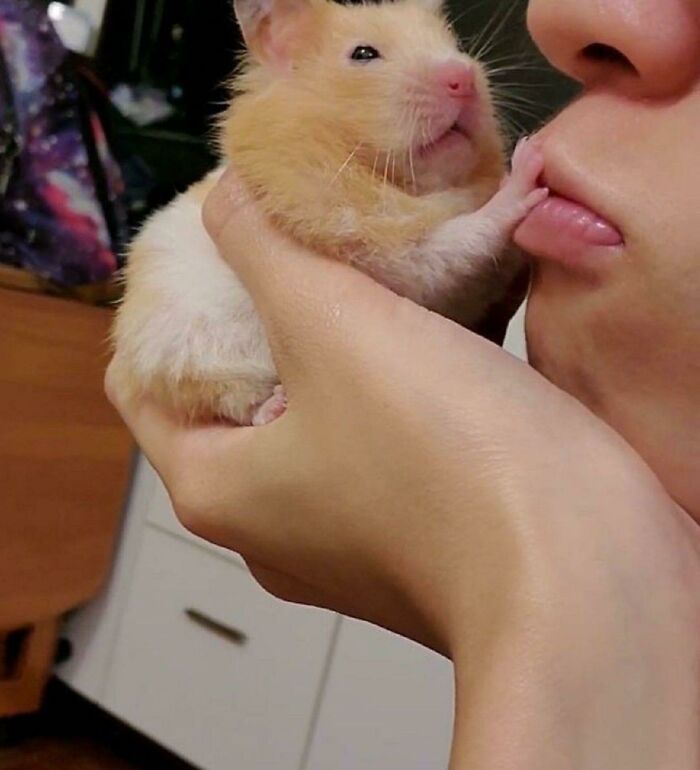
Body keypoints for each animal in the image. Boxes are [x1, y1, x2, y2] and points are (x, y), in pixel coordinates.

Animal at [111, 0, 547, 426]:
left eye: (454, 42)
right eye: (363, 54)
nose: (463, 77)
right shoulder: (389, 250)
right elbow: (467, 237)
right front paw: (528, 159)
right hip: (182, 357)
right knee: (227, 398)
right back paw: (274, 405)